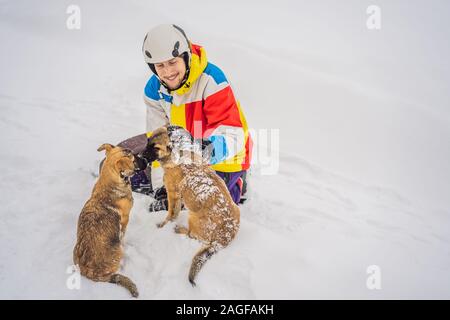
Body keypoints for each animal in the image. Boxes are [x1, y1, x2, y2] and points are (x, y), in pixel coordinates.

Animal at [73, 142, 139, 298]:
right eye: (130, 155)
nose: (132, 150)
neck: (111, 181)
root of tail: (87, 271)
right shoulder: (125, 220)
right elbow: (123, 234)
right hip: (117, 252)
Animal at [140, 125, 241, 284]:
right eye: (148, 141)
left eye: (155, 147)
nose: (140, 157)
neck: (182, 150)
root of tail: (226, 235)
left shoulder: (173, 194)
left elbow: (170, 215)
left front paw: (163, 226)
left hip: (193, 218)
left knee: (193, 235)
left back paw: (179, 229)